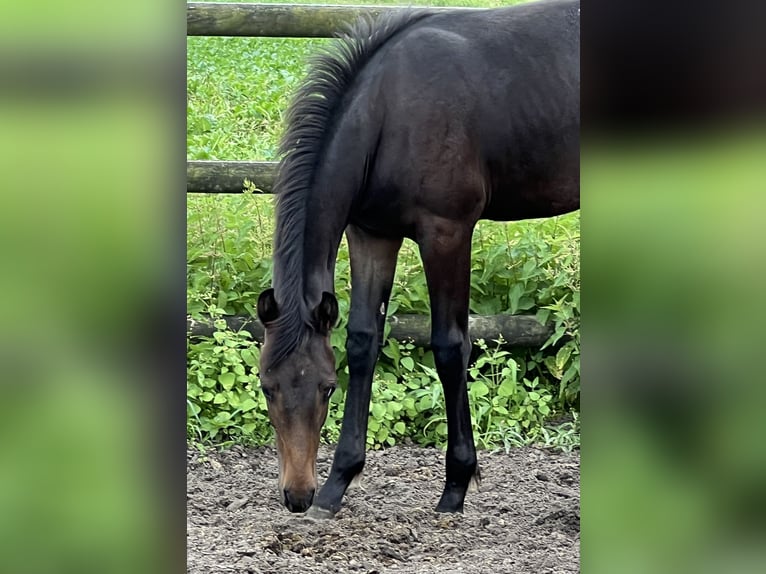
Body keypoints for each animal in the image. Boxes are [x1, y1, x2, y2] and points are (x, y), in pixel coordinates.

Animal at [255, 0, 580, 520]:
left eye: (326, 387)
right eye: (267, 386)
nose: (298, 495)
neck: (389, 110)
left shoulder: (446, 232)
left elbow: (449, 346)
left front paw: (456, 485)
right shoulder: (372, 235)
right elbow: (363, 341)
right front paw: (338, 484)